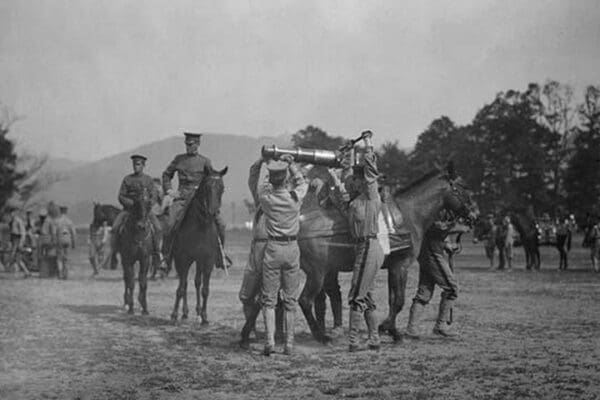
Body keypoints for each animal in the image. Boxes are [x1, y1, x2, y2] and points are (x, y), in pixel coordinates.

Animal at [170, 166, 229, 324]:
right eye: (207, 187)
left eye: (222, 188)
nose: (213, 213)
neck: (201, 227)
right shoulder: (183, 259)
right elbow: (181, 288)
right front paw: (174, 314)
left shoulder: (207, 260)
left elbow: (205, 289)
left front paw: (204, 317)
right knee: (185, 283)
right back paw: (184, 313)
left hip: (199, 261)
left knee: (197, 282)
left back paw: (197, 312)